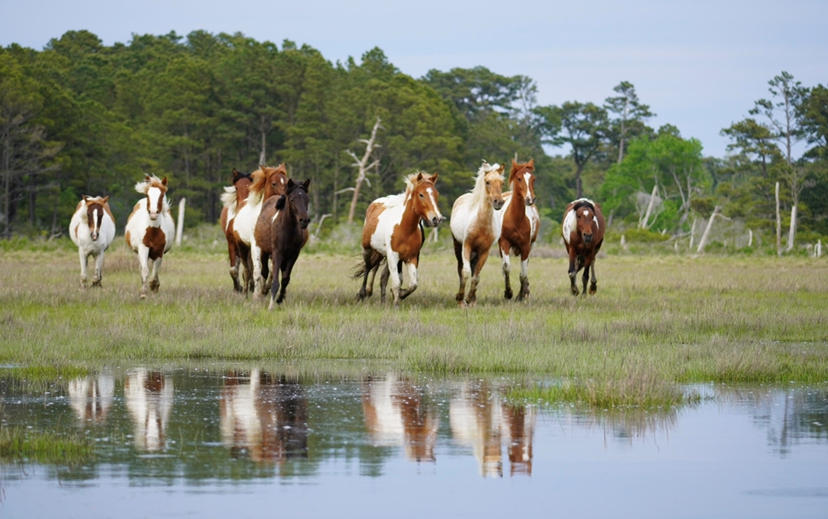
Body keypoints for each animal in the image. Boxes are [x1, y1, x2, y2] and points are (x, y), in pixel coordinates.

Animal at [252, 179, 310, 308]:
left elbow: (285, 279)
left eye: (306, 199)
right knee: (264, 272)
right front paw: (271, 305)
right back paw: (262, 292)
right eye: (292, 199)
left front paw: (280, 299)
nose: (304, 220)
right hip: (264, 251)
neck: (288, 229)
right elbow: (275, 280)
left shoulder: (293, 255)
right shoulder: (277, 253)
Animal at [358, 173, 446, 306]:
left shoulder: (412, 257)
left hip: (383, 254)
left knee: (381, 275)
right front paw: (395, 303)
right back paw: (363, 293)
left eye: (436, 194)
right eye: (421, 194)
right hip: (368, 249)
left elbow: (412, 284)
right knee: (368, 268)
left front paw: (400, 295)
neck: (405, 229)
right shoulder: (393, 256)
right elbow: (396, 283)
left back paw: (382, 301)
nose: (436, 218)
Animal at [450, 162, 508, 306]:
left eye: (502, 182)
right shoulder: (467, 246)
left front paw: (470, 299)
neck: (481, 224)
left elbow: (476, 277)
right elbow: (465, 272)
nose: (499, 202)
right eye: (487, 182)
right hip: (457, 246)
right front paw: (461, 299)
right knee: (460, 270)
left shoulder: (484, 251)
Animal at [494, 160, 540, 302]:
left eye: (533, 179)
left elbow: (523, 273)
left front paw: (522, 294)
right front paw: (508, 293)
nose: (530, 199)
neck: (516, 219)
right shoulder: (504, 243)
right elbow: (506, 267)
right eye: (519, 178)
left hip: (531, 245)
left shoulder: (526, 246)